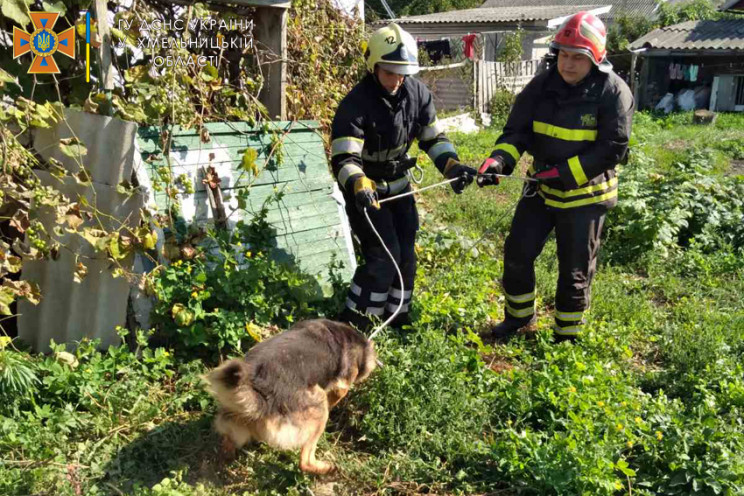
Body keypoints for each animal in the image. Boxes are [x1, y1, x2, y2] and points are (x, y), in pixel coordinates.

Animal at [205, 320, 374, 474]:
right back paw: (326, 468)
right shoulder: (342, 386)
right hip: (319, 407)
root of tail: (261, 396)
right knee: (305, 461)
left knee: (227, 444)